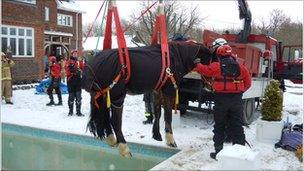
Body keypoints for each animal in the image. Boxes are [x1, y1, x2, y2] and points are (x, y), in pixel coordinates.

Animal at [82, 41, 213, 158]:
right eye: (212, 62)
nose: (211, 87)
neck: (177, 56)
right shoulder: (169, 90)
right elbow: (168, 116)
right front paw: (170, 140)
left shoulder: (157, 90)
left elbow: (158, 113)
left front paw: (157, 135)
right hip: (117, 95)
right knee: (115, 121)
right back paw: (124, 147)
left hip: (104, 94)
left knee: (104, 117)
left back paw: (111, 139)